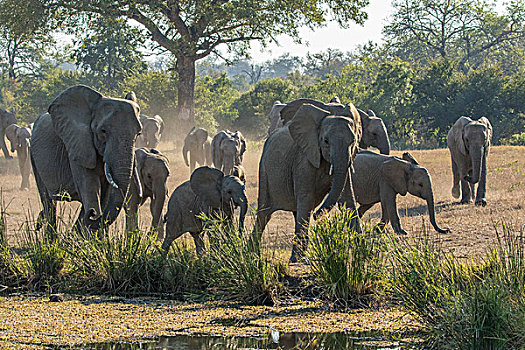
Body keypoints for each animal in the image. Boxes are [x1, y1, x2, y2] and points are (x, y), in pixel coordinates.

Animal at [30, 85, 141, 238]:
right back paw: (52, 240)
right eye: (103, 131)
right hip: (33, 156)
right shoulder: (77, 145)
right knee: (48, 203)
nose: (92, 213)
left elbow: (104, 194)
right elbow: (90, 186)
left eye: (138, 134)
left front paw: (98, 239)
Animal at [256, 99, 362, 262]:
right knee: (264, 214)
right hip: (264, 170)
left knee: (296, 211)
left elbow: (348, 200)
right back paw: (252, 253)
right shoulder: (303, 159)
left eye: (353, 141)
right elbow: (306, 198)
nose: (318, 215)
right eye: (325, 141)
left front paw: (363, 251)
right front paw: (299, 260)